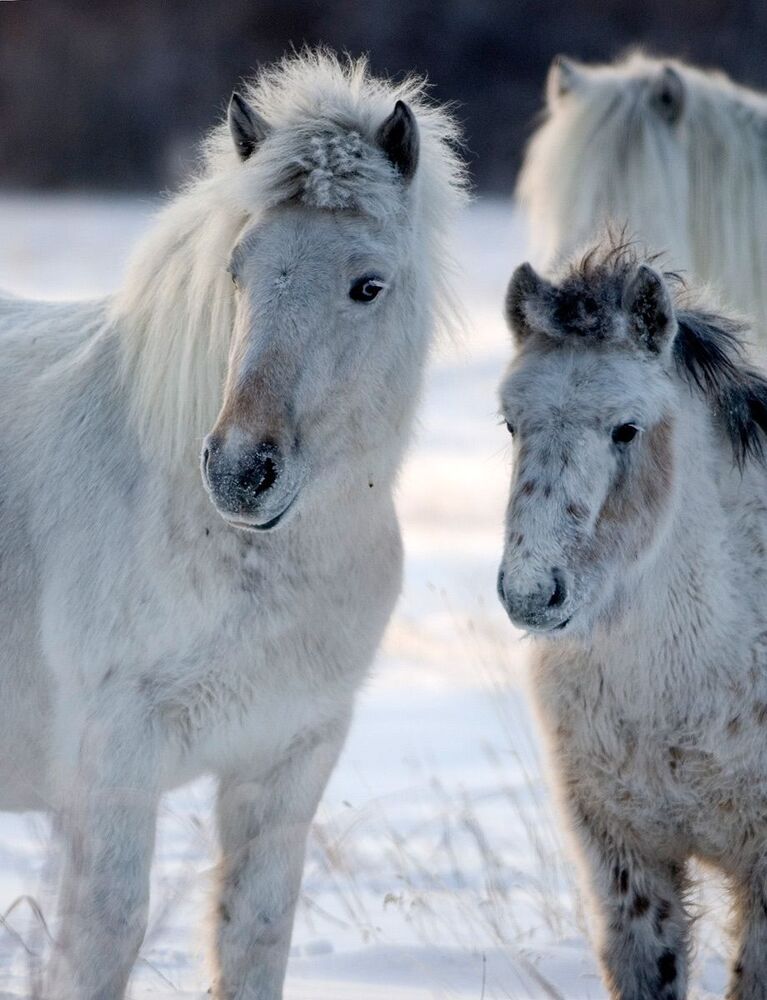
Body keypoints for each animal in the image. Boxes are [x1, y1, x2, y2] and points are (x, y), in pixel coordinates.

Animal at [0, 49, 465, 998]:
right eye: (238, 271)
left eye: (368, 285)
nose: (239, 470)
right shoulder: (115, 756)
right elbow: (104, 935)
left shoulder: (287, 758)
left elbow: (253, 933)